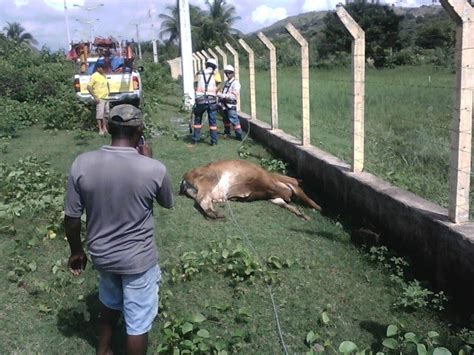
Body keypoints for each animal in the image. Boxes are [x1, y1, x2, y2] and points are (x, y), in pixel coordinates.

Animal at [179, 159, 322, 220]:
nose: (289, 198)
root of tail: (184, 178)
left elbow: (285, 204)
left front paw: (303, 215)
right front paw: (318, 208)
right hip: (210, 179)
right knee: (201, 199)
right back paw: (216, 214)